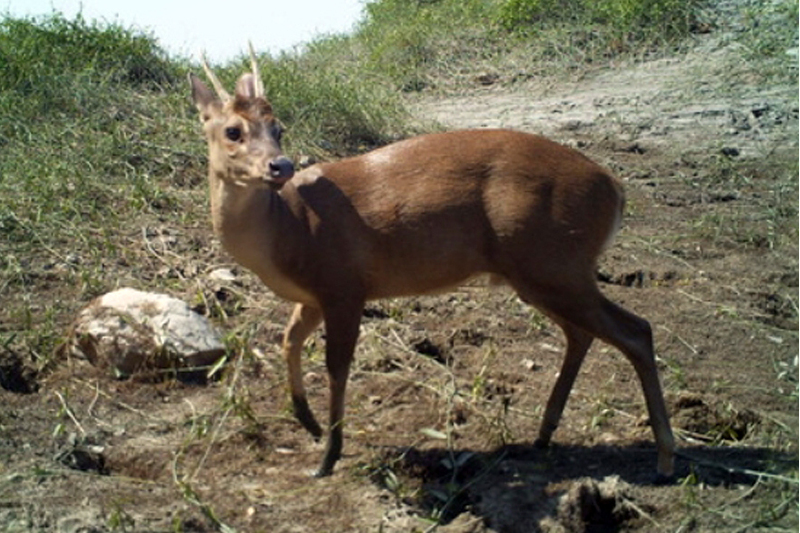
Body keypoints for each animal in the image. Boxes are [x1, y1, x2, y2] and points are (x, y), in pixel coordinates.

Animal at [188, 47, 676, 480]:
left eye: (279, 128)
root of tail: (614, 188)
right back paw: (543, 434)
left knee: (636, 330)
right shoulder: (314, 296)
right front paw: (308, 423)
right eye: (233, 131)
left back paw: (665, 460)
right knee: (583, 334)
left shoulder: (344, 285)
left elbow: (336, 365)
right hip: (543, 273)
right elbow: (288, 342)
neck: (289, 229)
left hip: (556, 263)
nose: (281, 166)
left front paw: (328, 457)